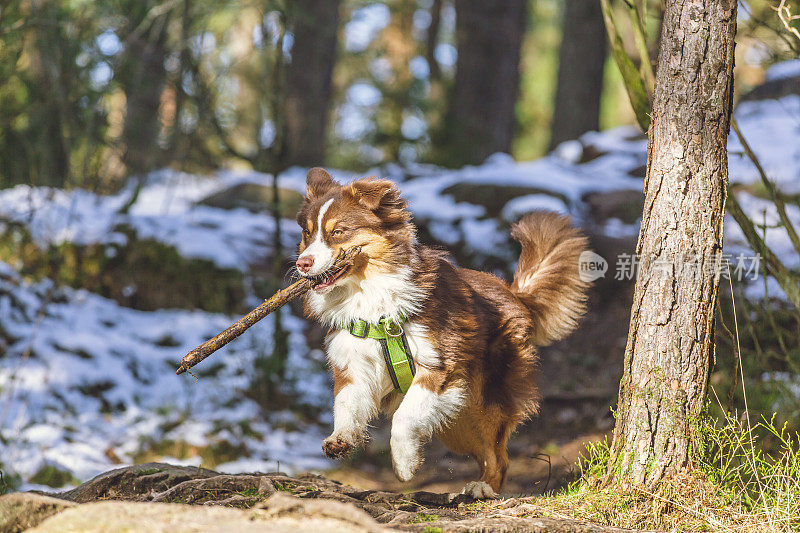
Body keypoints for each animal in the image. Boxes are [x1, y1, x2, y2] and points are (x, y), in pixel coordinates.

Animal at [294, 168, 588, 496]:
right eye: (307, 234)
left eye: (338, 232)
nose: (302, 264)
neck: (368, 295)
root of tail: (514, 294)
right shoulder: (354, 363)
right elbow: (346, 403)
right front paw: (341, 438)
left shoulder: (440, 366)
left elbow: (404, 417)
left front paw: (405, 464)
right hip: (459, 422)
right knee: (487, 451)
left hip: (487, 396)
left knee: (499, 454)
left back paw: (482, 488)